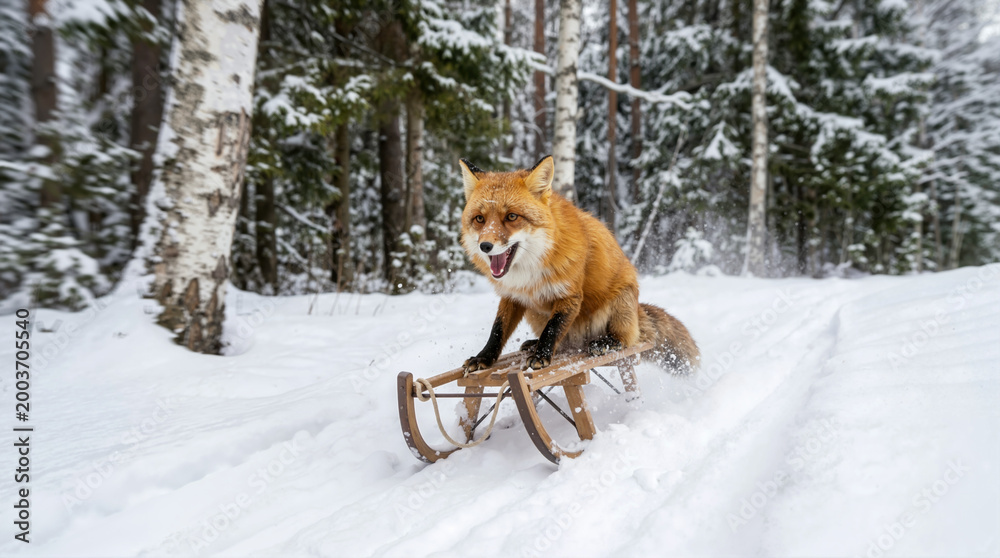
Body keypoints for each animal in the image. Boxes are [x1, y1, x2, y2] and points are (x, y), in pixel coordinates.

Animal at [458, 155, 700, 375]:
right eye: (479, 219)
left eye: (511, 216)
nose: (485, 246)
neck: (528, 273)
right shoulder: (512, 296)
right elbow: (498, 330)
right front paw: (484, 357)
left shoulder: (570, 295)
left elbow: (552, 329)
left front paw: (541, 356)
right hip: (535, 314)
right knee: (563, 340)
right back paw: (533, 343)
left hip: (620, 303)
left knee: (626, 339)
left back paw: (606, 342)